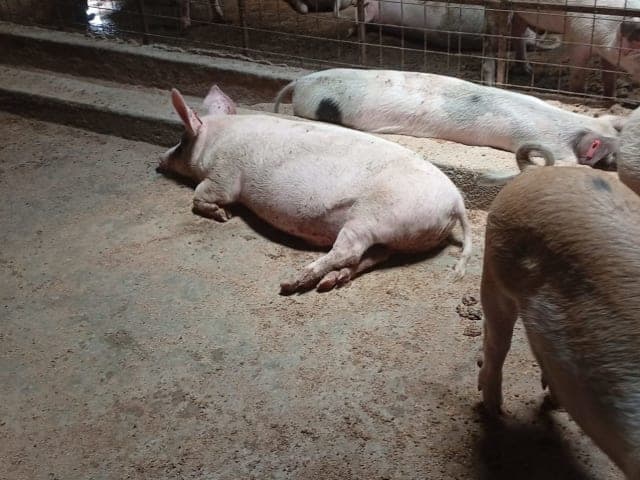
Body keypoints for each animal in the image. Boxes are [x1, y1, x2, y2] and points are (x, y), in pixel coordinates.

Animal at [158, 85, 472, 294]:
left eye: (181, 141)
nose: (159, 162)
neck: (215, 141)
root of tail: (457, 202)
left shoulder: (223, 176)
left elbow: (202, 195)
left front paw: (224, 216)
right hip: (396, 235)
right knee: (372, 256)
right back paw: (330, 282)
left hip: (372, 216)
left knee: (348, 251)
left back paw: (292, 283)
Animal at [484, 1, 640, 96]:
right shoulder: (577, 36)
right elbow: (577, 75)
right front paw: (577, 95)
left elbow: (609, 78)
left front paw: (610, 98)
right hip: (496, 7)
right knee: (491, 36)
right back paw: (491, 83)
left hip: (521, 11)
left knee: (518, 31)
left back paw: (528, 70)